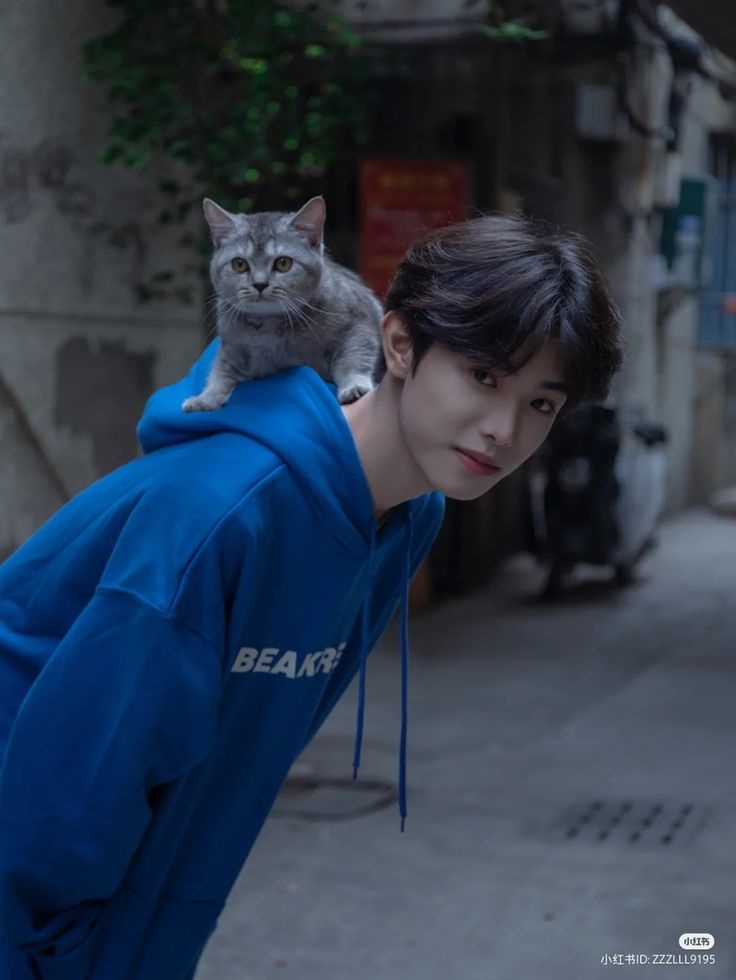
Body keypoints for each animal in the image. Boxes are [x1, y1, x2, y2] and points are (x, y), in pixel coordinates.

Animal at [181, 197, 382, 412]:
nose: (260, 284)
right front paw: (205, 397)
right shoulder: (232, 347)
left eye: (284, 263)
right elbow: (220, 371)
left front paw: (354, 385)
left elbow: (353, 358)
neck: (269, 327)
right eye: (239, 264)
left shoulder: (360, 322)